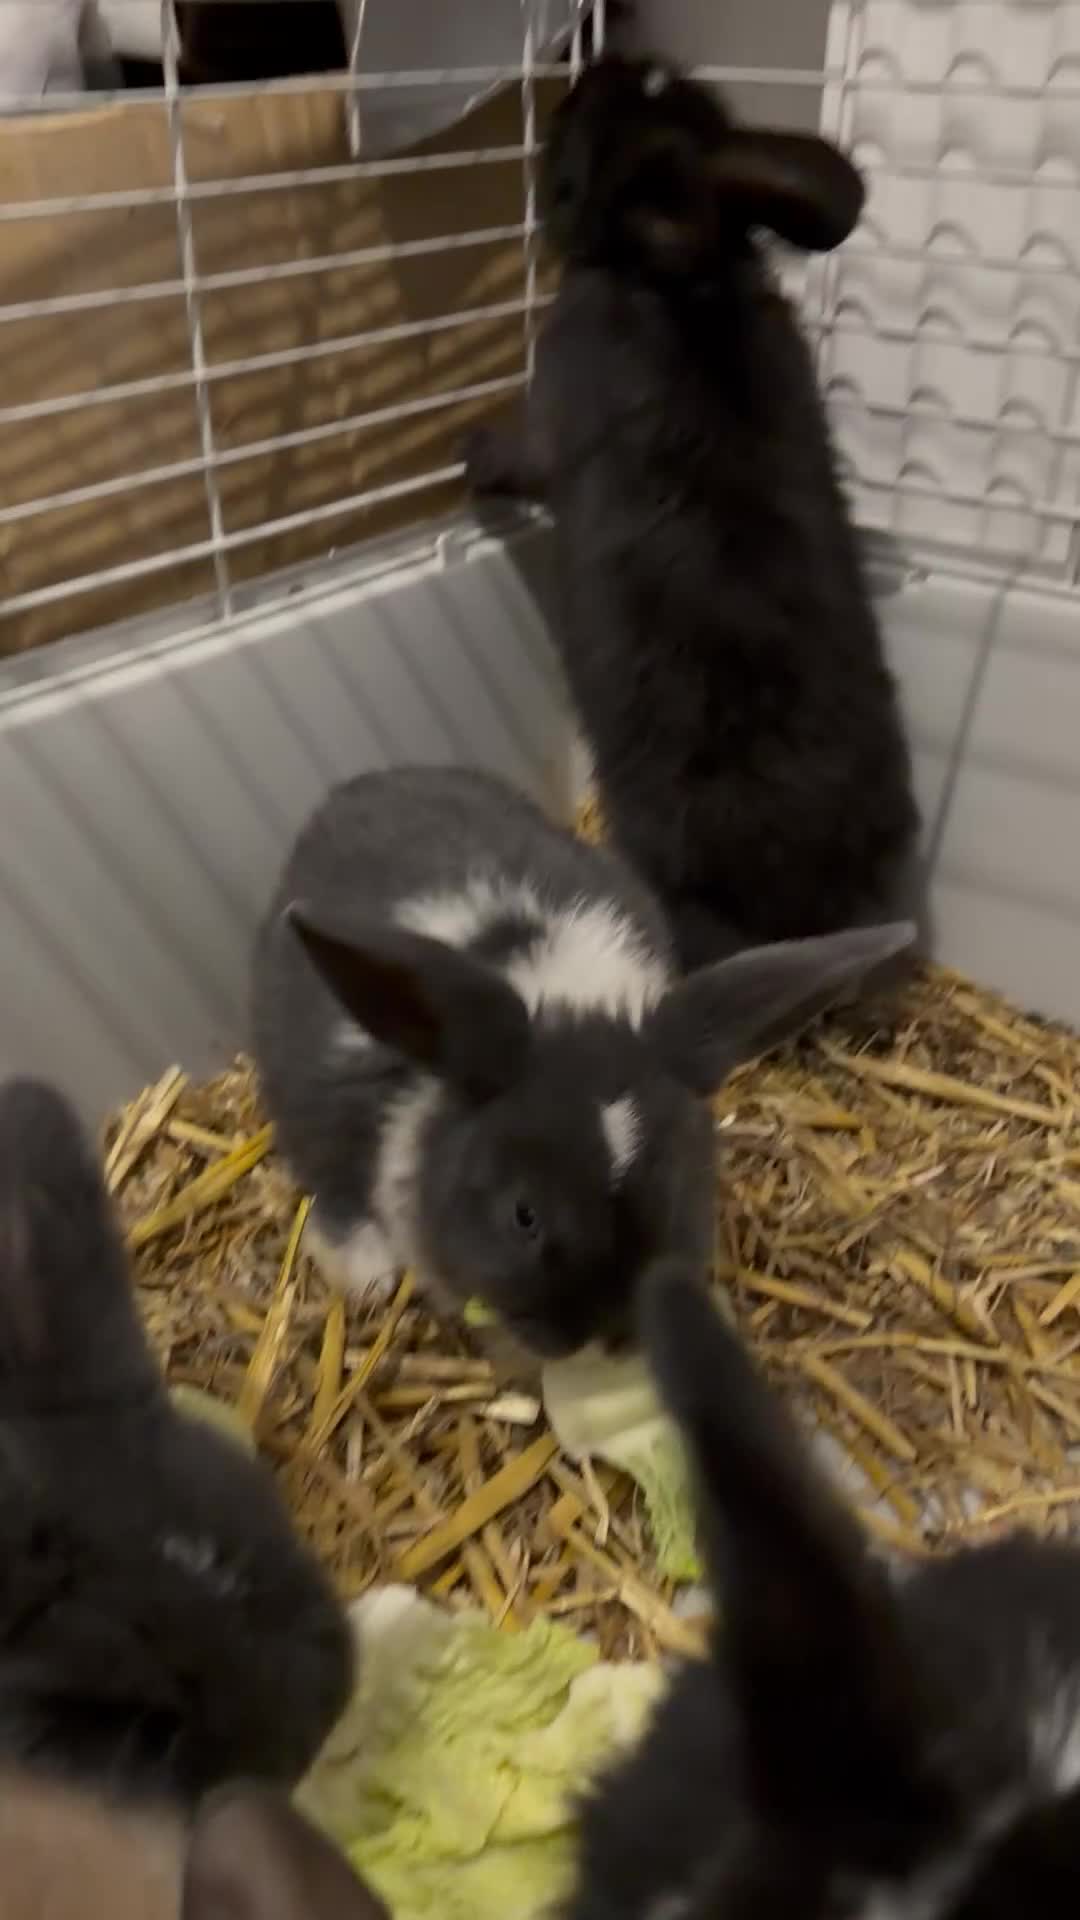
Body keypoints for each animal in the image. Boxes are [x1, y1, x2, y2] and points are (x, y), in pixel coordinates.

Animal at [250, 764, 913, 1360]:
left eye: (677, 1195)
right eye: (523, 1215)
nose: (605, 1335)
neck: (565, 996)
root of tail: (363, 783)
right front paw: (370, 1280)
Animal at [464, 55, 921, 973]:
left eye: (581, 145)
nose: (579, 80)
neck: (684, 283)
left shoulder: (553, 403)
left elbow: (520, 456)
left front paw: (468, 452)